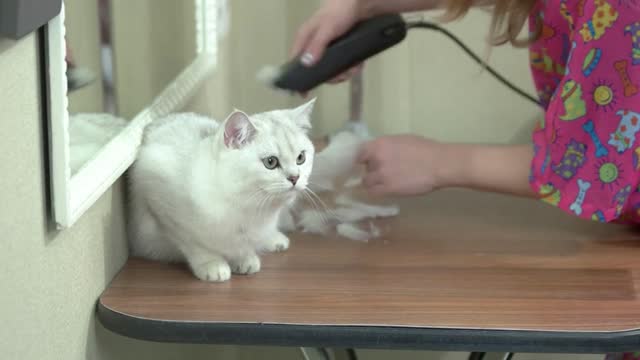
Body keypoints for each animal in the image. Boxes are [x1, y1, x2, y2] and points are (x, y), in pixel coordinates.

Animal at [129, 100, 316, 282]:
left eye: (301, 158)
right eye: (270, 162)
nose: (295, 177)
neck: (247, 206)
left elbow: (241, 246)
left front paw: (244, 259)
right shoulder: (160, 200)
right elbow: (195, 244)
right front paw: (213, 265)